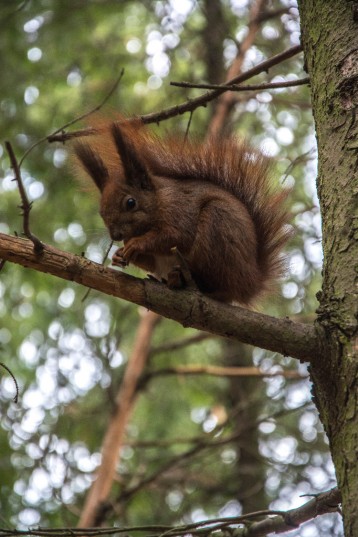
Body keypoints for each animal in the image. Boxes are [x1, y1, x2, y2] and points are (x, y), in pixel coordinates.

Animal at [73, 119, 290, 304]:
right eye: (101, 213)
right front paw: (119, 255)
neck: (158, 201)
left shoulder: (179, 208)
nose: (116, 235)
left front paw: (137, 244)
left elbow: (178, 235)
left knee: (220, 288)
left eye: (131, 202)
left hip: (218, 224)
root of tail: (251, 283)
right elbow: (149, 260)